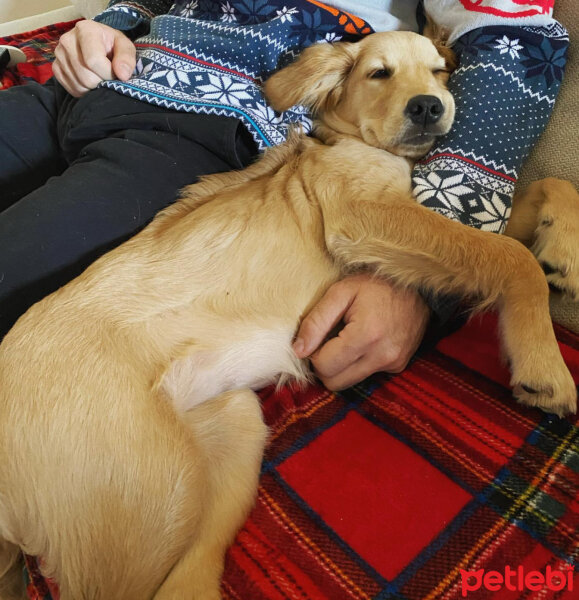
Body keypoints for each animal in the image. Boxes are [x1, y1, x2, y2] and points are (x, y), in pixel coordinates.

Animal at [0, 30, 576, 596]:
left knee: (188, 578)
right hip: (149, 499)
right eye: (379, 73)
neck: (351, 143)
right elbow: (509, 255)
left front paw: (561, 250)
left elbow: (544, 190)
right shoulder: (364, 215)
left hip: (229, 440)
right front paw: (544, 365)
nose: (429, 107)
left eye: (439, 71)